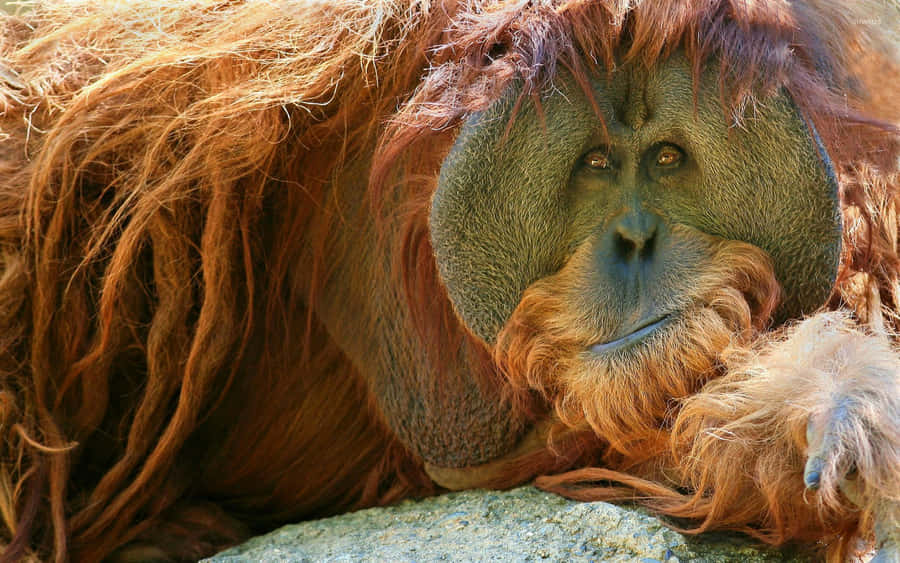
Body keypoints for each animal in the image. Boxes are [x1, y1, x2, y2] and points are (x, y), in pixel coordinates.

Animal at [0, 1, 897, 561]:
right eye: (597, 164)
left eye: (669, 159)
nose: (637, 239)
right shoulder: (203, 87)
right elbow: (32, 190)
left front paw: (829, 407)